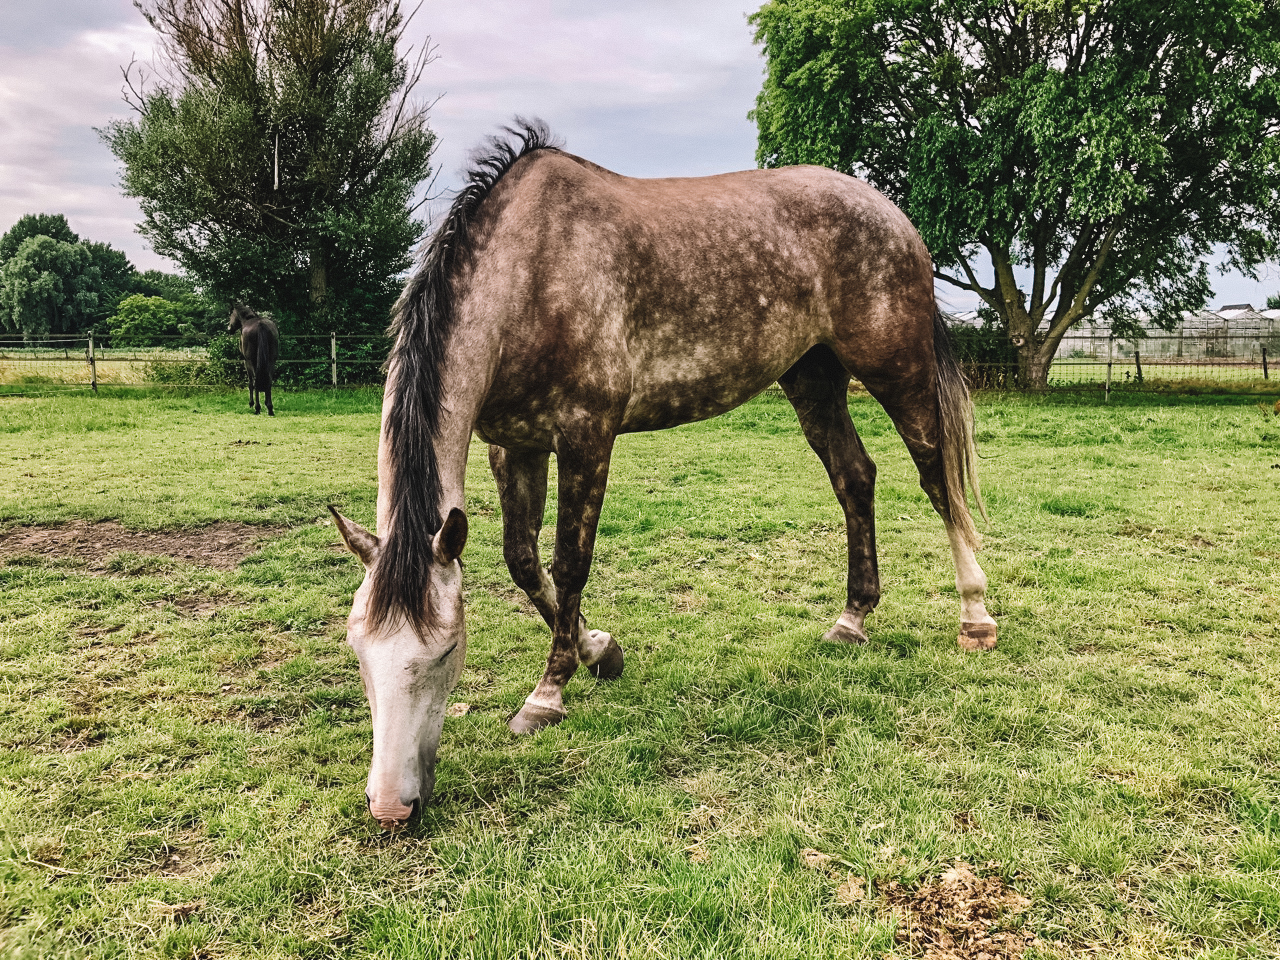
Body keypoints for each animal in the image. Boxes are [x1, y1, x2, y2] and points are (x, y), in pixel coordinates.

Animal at [329, 121, 997, 831]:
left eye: (447, 649)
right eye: (358, 650)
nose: (390, 807)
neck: (527, 271)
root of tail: (890, 214)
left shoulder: (586, 436)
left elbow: (569, 563)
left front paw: (548, 694)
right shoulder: (515, 445)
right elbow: (522, 559)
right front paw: (600, 650)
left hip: (897, 367)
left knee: (937, 478)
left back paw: (975, 617)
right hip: (813, 379)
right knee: (856, 477)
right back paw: (852, 620)